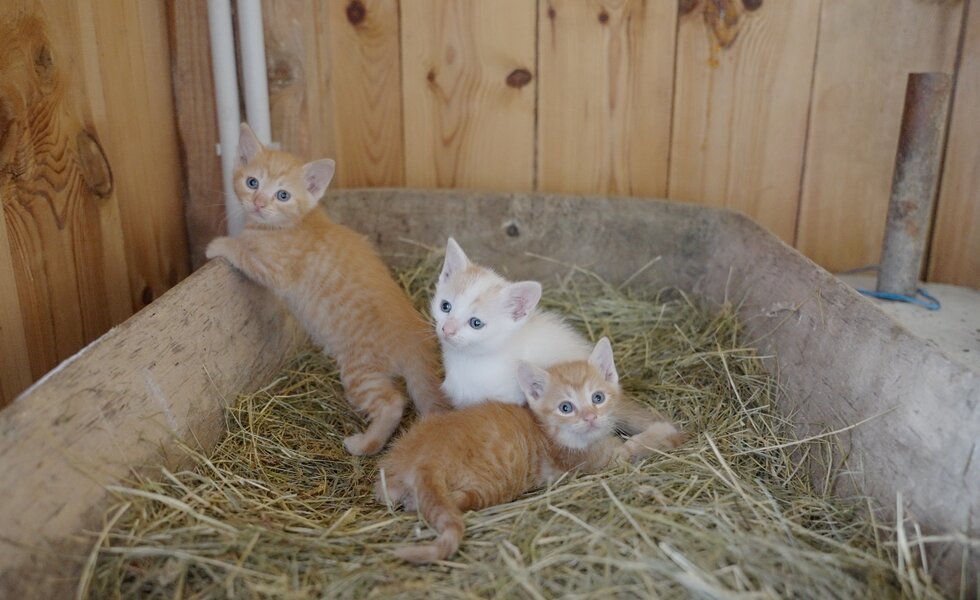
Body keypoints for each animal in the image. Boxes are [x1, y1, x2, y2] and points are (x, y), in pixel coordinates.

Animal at [211, 124, 452, 458]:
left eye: (282, 195)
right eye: (252, 182)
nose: (259, 202)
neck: (292, 224)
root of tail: (416, 340)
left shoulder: (275, 270)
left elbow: (245, 252)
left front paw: (220, 245)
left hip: (359, 370)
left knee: (392, 402)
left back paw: (365, 444)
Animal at [378, 338, 688, 564]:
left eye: (597, 397)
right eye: (566, 407)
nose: (590, 417)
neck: (549, 431)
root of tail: (426, 458)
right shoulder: (598, 459)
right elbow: (634, 447)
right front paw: (663, 433)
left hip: (397, 458)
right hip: (493, 484)